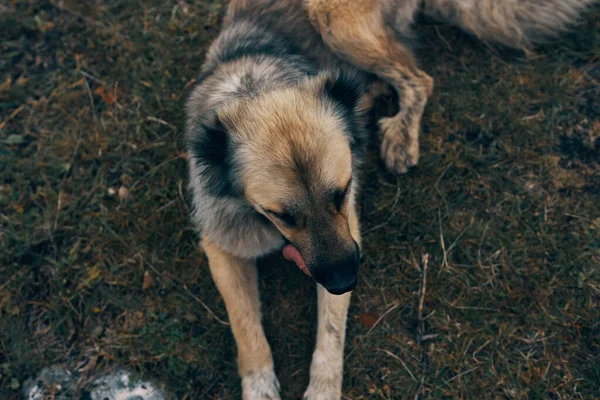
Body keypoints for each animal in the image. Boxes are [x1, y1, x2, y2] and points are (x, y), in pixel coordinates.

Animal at [184, 1, 596, 398]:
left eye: (343, 190)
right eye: (281, 215)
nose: (344, 281)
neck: (257, 87)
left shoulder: (349, 230)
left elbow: (331, 330)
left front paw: (323, 389)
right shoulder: (221, 245)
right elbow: (244, 324)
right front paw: (260, 386)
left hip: (333, 19)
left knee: (418, 79)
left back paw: (398, 134)